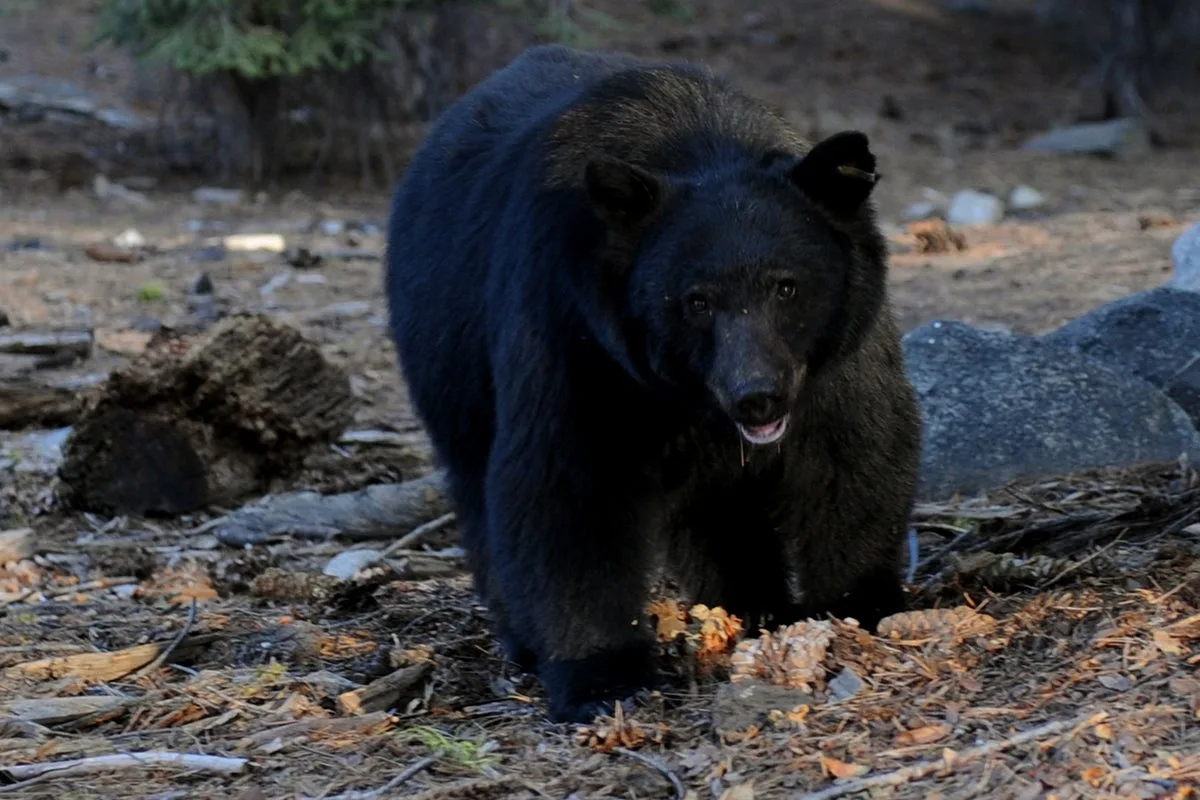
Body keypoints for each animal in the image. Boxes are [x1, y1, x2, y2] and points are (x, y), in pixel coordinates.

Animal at [384, 44, 922, 724]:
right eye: (696, 301)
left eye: (787, 286)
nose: (757, 396)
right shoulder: (577, 334)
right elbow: (569, 485)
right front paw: (603, 676)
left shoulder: (837, 356)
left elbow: (854, 454)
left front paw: (860, 606)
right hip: (447, 356)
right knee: (478, 487)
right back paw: (524, 638)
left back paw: (751, 604)